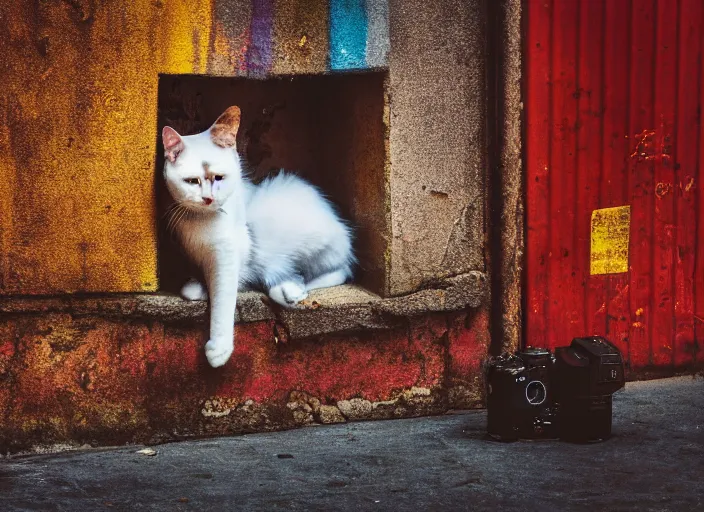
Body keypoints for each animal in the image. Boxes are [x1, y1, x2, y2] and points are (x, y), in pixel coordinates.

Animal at [162, 105, 354, 368]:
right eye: (192, 181)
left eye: (220, 178)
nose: (209, 199)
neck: (201, 222)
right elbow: (190, 290)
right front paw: (198, 288)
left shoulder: (228, 256)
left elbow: (223, 300)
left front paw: (219, 349)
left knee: (338, 269)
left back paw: (295, 289)